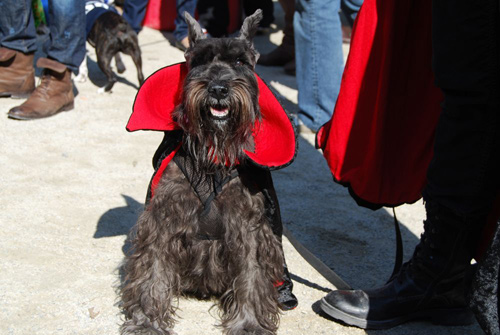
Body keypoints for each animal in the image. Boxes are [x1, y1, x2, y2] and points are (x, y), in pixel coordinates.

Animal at [120, 9, 296, 335]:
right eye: (199, 61)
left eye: (240, 62)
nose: (218, 89)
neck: (212, 156)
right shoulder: (163, 219)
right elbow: (153, 272)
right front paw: (146, 322)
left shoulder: (249, 227)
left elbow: (251, 276)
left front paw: (249, 324)